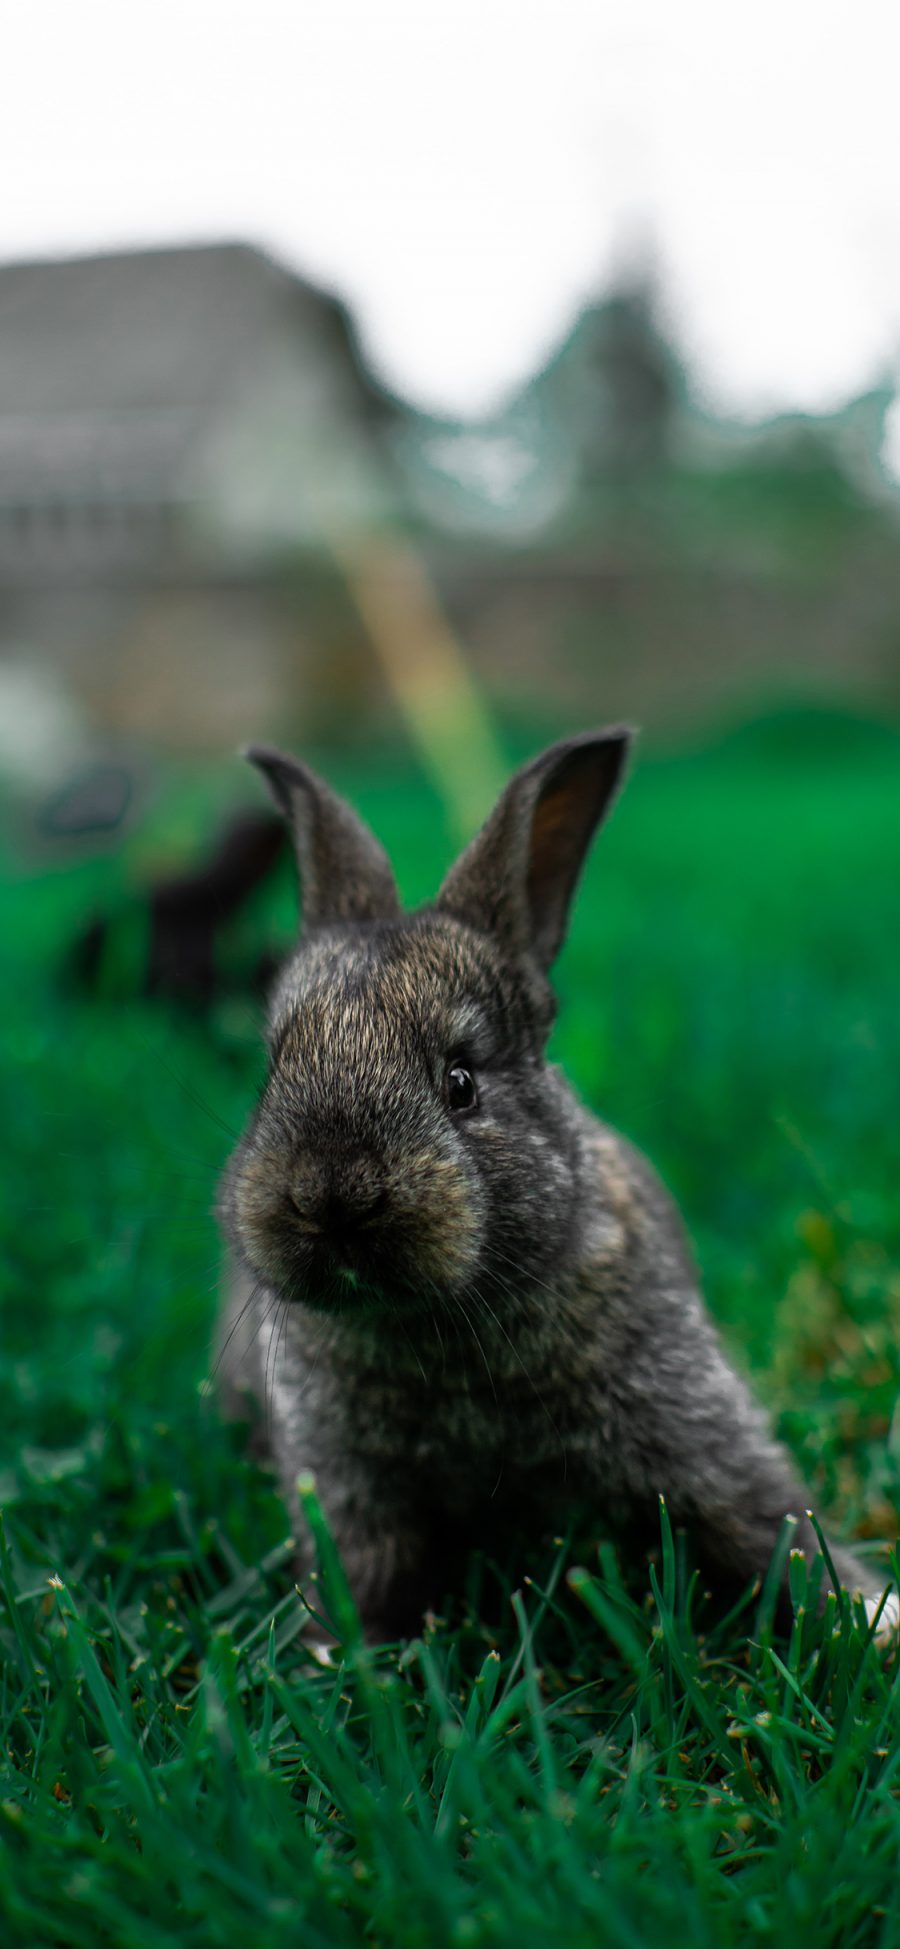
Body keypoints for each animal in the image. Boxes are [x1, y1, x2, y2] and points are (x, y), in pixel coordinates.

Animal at [214, 732, 896, 1644]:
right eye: (272, 1072)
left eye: (461, 1082)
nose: (331, 1195)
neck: (439, 1327)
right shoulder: (349, 1486)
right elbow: (359, 1572)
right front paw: (336, 1651)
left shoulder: (696, 1428)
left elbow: (768, 1521)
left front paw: (872, 1615)